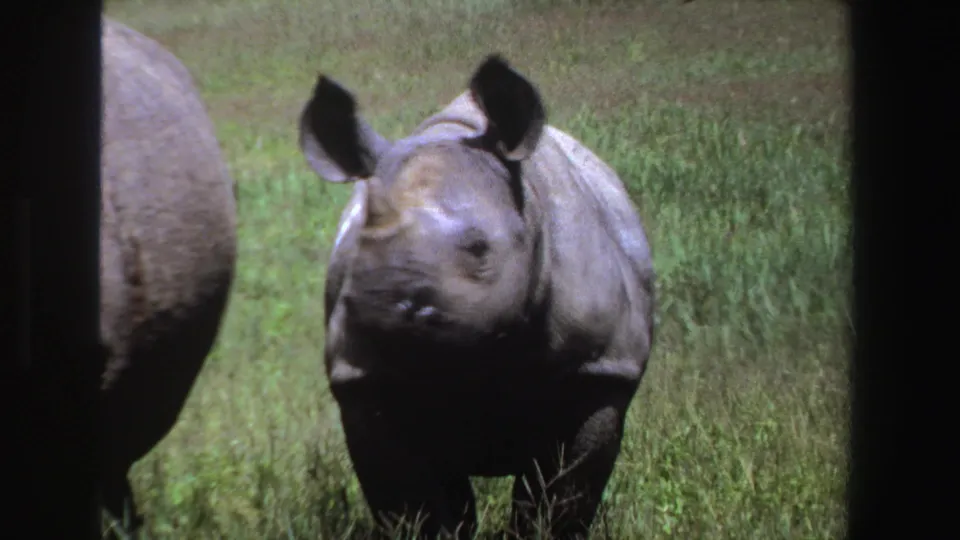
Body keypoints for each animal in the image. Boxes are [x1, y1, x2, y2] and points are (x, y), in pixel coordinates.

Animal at [299, 55, 655, 539]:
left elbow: (557, 500)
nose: (382, 310)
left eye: (480, 249)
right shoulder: (365, 384)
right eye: (354, 251)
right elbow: (412, 506)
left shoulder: (599, 369)